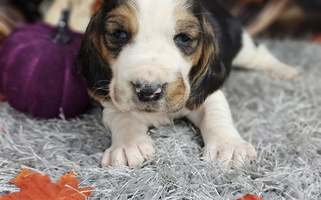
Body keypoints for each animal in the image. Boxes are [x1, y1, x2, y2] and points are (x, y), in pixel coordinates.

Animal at [77, 0, 298, 168]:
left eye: (183, 38)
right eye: (119, 34)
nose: (148, 90)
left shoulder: (207, 93)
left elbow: (215, 114)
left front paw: (229, 146)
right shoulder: (112, 100)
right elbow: (123, 118)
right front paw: (128, 146)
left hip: (243, 45)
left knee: (260, 54)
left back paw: (284, 70)